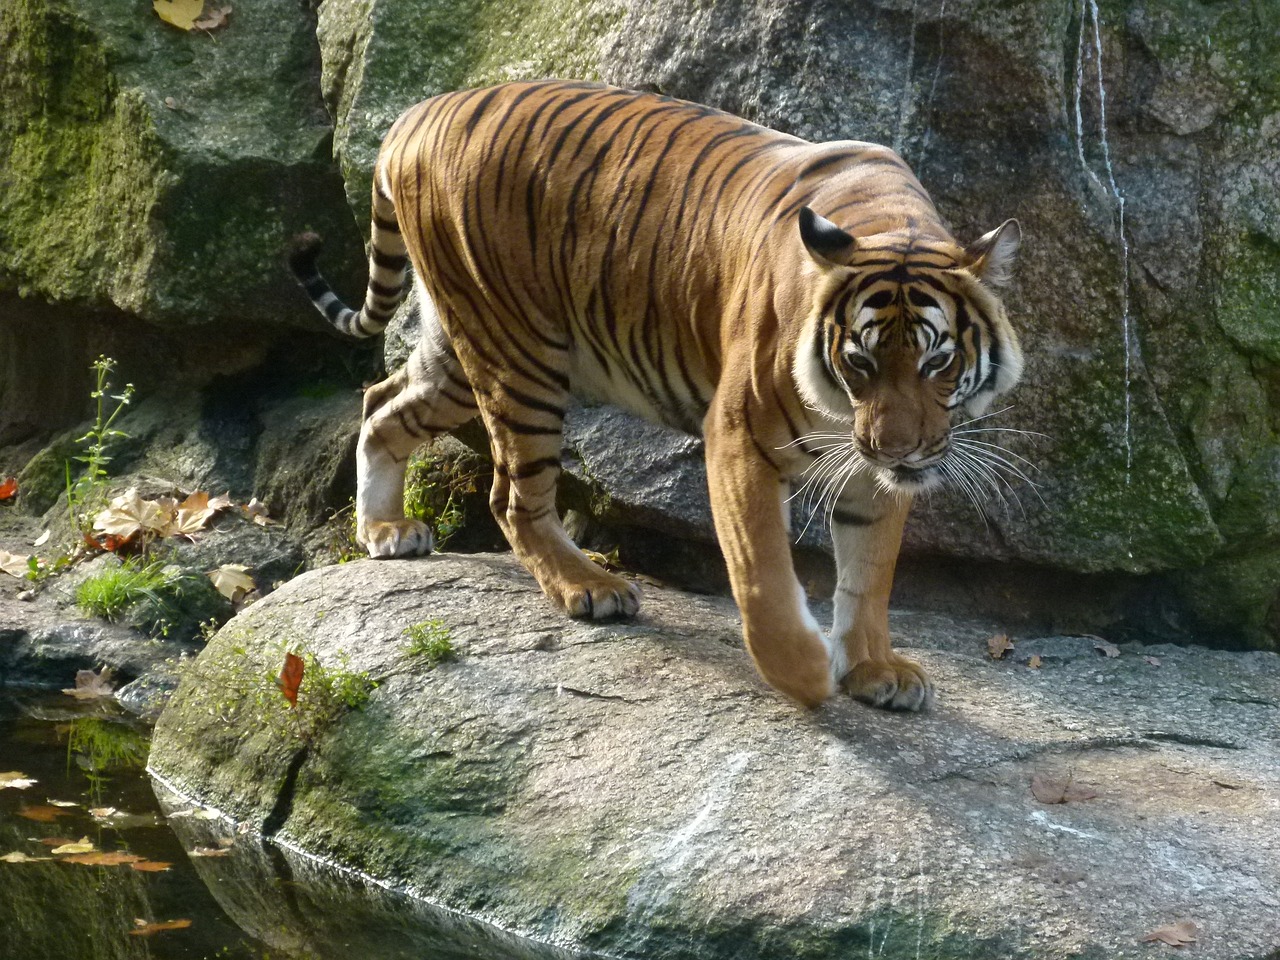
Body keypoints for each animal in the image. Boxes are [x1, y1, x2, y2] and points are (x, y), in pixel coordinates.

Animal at [290, 80, 1018, 716]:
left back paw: (385, 529)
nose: (897, 451)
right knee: (512, 496)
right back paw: (590, 586)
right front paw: (805, 673)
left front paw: (873, 669)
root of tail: (417, 113)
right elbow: (762, 572)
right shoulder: (740, 438)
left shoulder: (873, 469)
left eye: (937, 362)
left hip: (461, 350)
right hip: (519, 355)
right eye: (860, 362)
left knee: (381, 402)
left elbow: (869, 574)